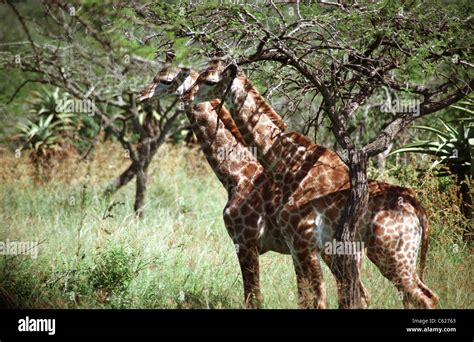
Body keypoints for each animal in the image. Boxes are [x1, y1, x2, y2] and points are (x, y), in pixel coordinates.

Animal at [182, 60, 440, 308]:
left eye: (210, 80)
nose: (186, 96)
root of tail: (417, 208)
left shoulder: (288, 242)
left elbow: (307, 300)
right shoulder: (295, 246)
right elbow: (306, 299)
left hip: (391, 253)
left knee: (424, 296)